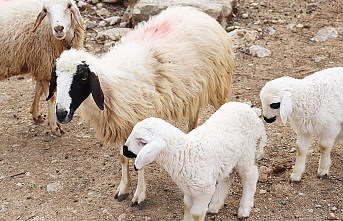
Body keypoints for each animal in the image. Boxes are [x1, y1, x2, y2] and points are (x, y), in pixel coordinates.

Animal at [0, 0, 85, 136]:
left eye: (68, 6)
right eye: (46, 10)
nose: (58, 29)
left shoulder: (40, 65)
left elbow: (38, 89)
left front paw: (36, 114)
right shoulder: (44, 63)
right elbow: (51, 97)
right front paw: (54, 127)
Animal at [46, 5, 236, 209]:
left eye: (82, 77)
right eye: (55, 76)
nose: (61, 113)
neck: (110, 87)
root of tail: (197, 12)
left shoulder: (139, 123)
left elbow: (140, 162)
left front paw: (139, 195)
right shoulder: (122, 124)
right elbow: (122, 157)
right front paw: (123, 188)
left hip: (218, 85)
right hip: (195, 91)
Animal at [122, 102, 268, 221]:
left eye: (142, 142)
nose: (124, 150)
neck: (186, 153)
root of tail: (250, 111)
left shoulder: (204, 190)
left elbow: (197, 214)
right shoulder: (189, 190)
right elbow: (187, 207)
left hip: (246, 152)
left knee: (251, 175)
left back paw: (244, 209)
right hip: (229, 159)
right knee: (228, 176)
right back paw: (215, 205)